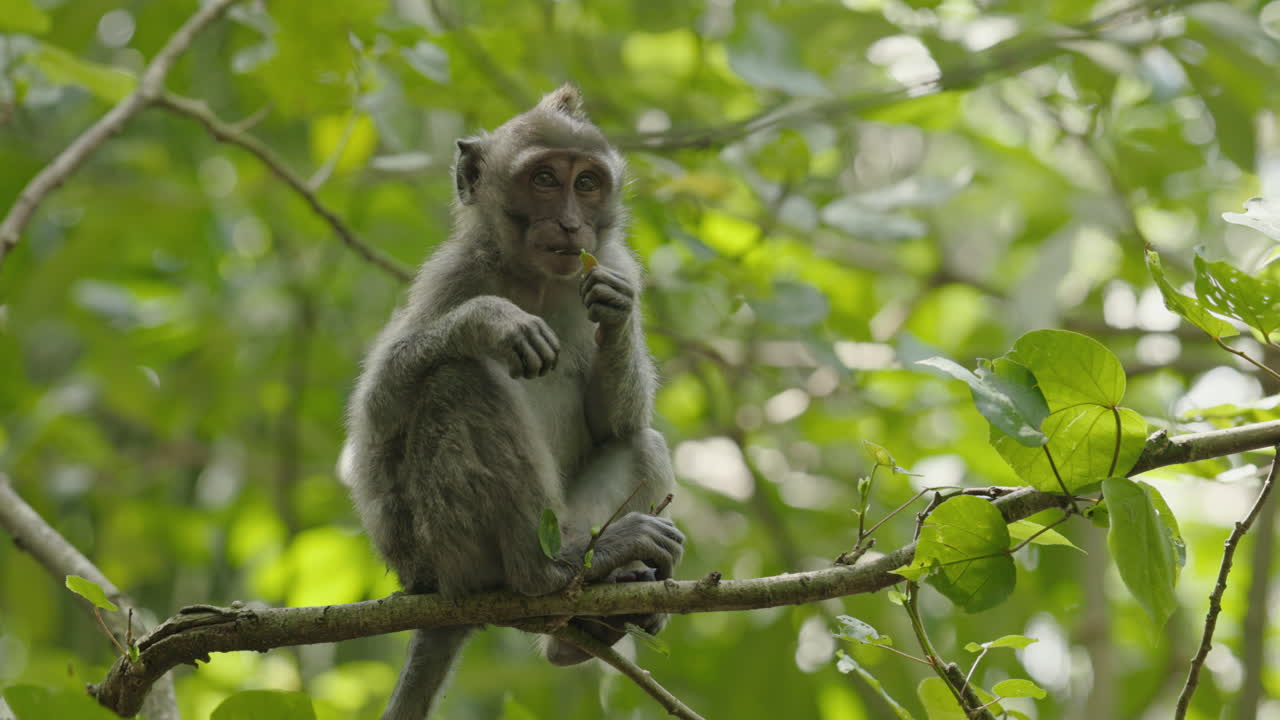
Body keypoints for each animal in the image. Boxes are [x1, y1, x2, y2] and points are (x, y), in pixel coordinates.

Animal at [339, 84, 684, 720]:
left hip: (563, 520)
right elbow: (375, 419)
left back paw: (595, 610)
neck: (536, 279)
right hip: (442, 551)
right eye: (544, 178)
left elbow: (616, 423)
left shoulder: (614, 260)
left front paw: (618, 311)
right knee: (457, 381)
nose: (572, 224)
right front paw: (490, 322)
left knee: (641, 440)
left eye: (587, 182)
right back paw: (546, 571)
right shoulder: (452, 274)